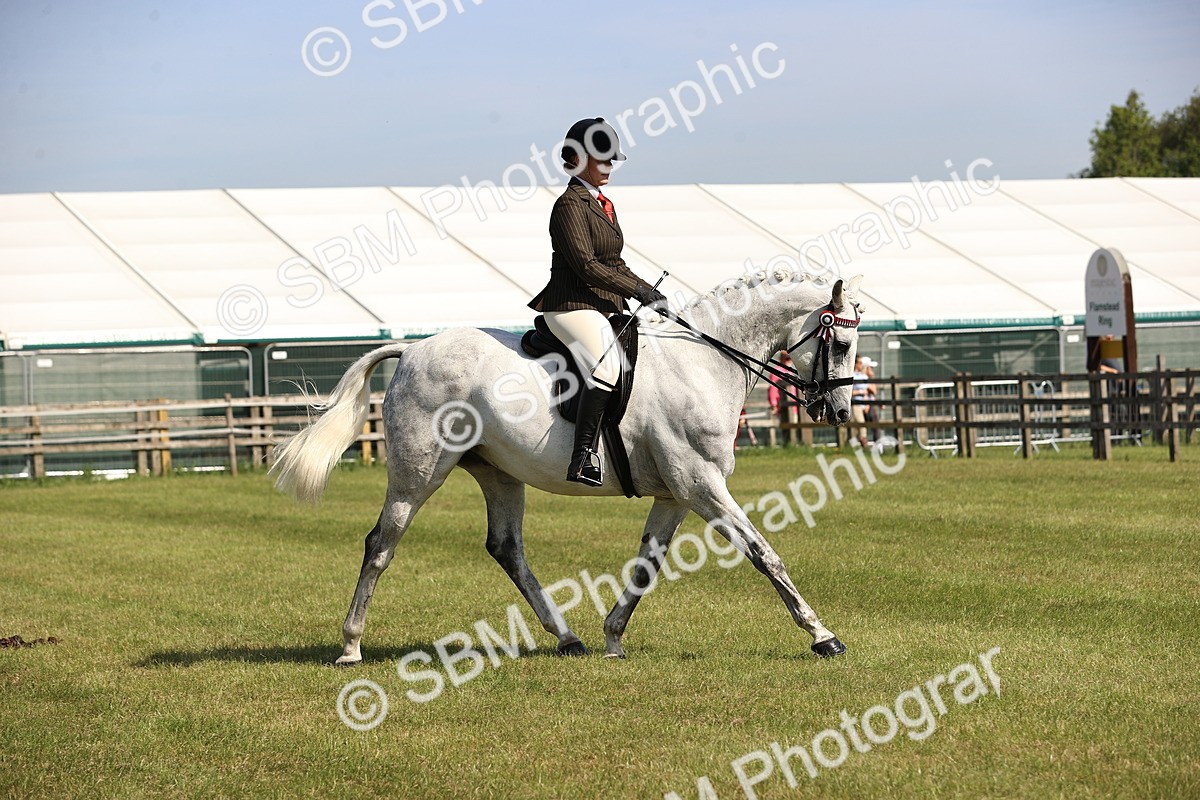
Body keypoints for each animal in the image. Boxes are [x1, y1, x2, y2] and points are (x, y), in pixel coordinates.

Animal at [270, 268, 864, 664]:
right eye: (841, 342)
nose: (837, 412)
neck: (704, 360)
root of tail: (414, 350)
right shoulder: (701, 485)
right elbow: (765, 553)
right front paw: (823, 636)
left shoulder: (676, 494)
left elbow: (647, 565)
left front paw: (613, 636)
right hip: (418, 475)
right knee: (381, 544)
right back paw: (350, 646)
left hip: (499, 474)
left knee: (506, 548)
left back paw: (568, 637)